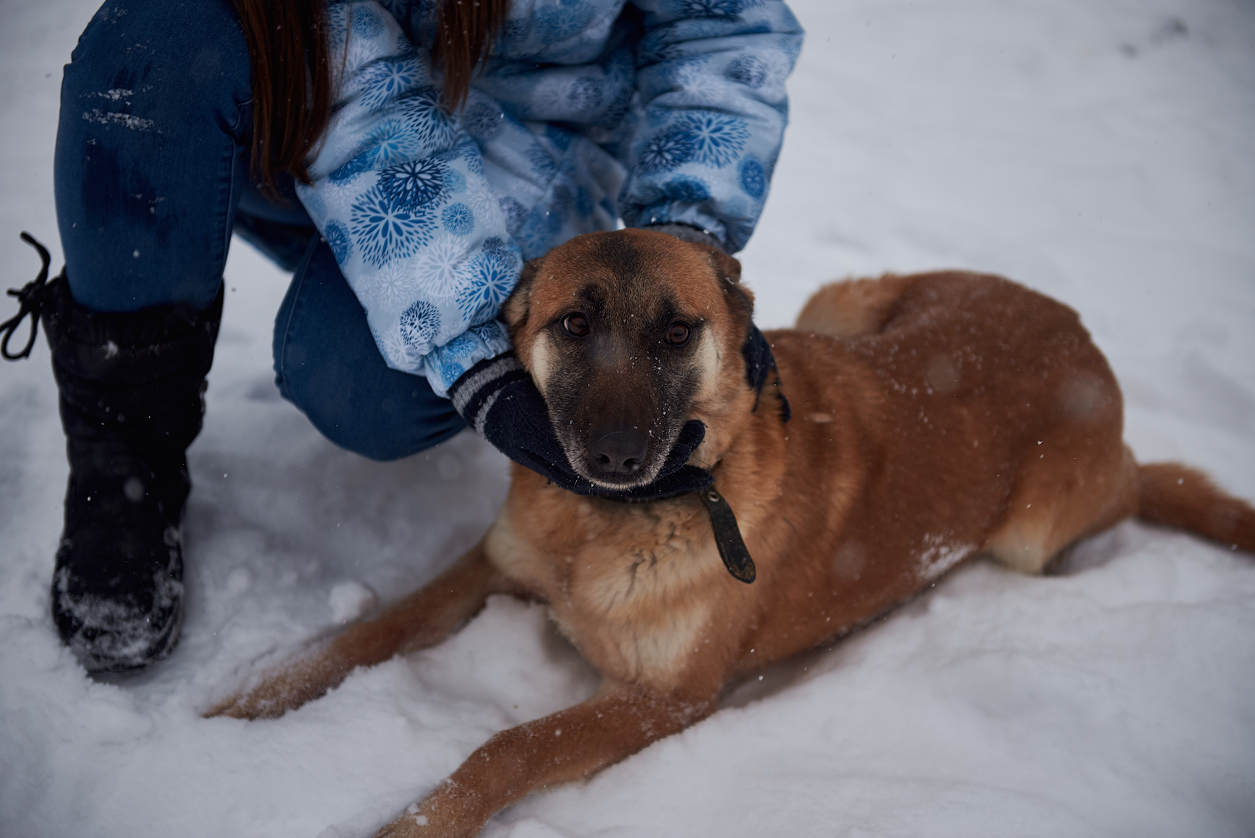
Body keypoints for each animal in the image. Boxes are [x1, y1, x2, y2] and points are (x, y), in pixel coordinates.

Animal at [208, 229, 1255, 837]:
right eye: (573, 324)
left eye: (678, 333)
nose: (618, 455)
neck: (600, 526)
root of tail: (1082, 339)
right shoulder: (486, 568)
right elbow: (369, 631)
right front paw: (250, 702)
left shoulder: (661, 700)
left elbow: (506, 749)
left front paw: (413, 825)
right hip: (837, 307)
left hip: (1030, 533)